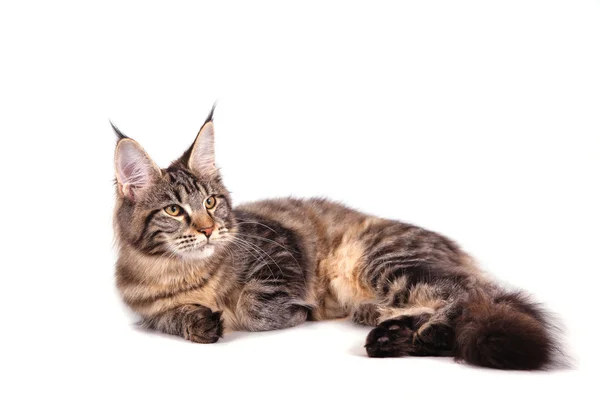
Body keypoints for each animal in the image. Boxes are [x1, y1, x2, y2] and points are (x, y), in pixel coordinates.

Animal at [111, 108, 556, 370]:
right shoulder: (145, 311)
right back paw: (388, 333)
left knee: (463, 296)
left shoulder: (279, 254)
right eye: (174, 211)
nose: (207, 229)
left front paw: (290, 313)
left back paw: (427, 333)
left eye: (210, 201)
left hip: (382, 264)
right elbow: (171, 318)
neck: (185, 273)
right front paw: (201, 323)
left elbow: (256, 307)